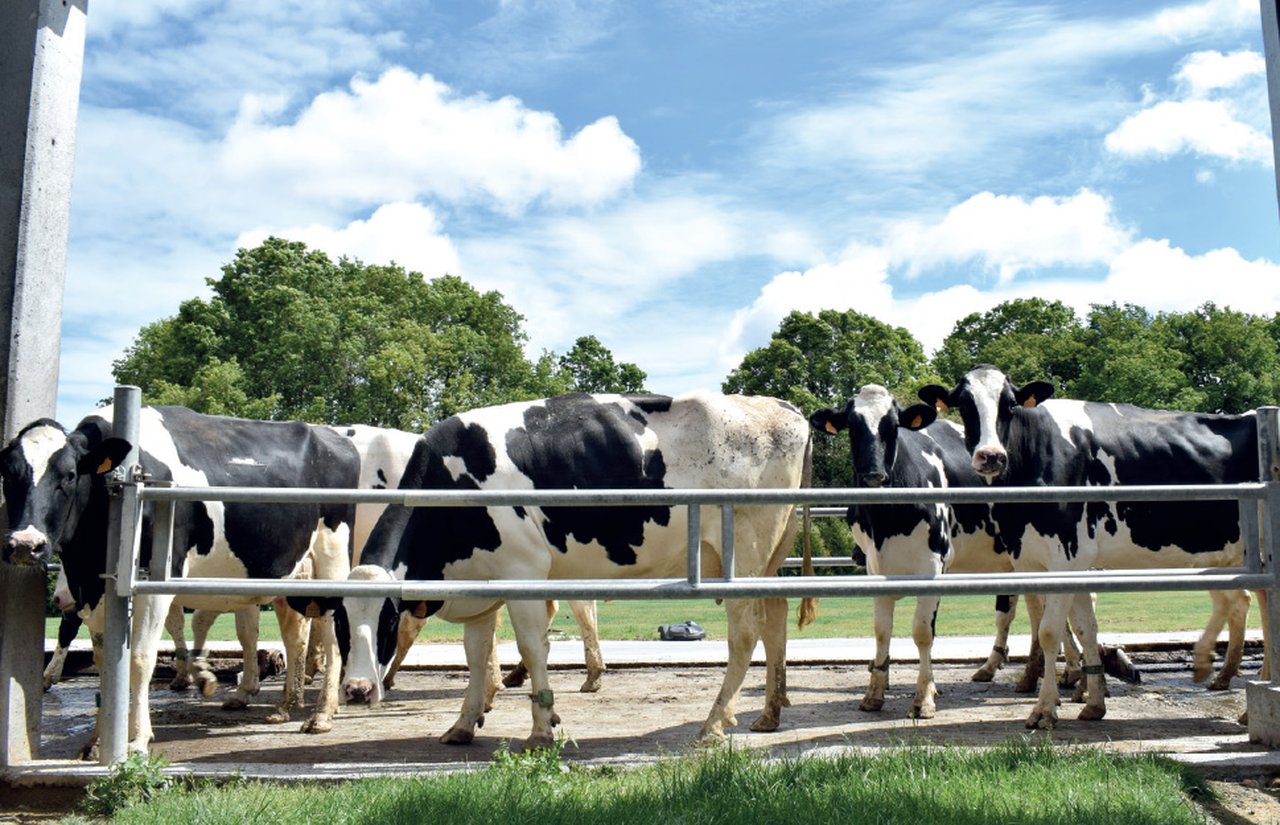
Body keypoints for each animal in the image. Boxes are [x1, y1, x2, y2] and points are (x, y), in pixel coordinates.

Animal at [0, 407, 361, 752]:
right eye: (8, 473)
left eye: (70, 475)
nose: (26, 544)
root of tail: (332, 436)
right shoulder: (94, 592)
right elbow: (105, 664)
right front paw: (98, 740)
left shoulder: (152, 584)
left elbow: (139, 659)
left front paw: (137, 739)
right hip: (288, 576)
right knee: (293, 636)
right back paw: (283, 705)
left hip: (332, 561)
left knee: (331, 636)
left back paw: (322, 713)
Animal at [332, 392, 811, 750]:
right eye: (340, 622)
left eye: (387, 619)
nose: (357, 691)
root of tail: (778, 406)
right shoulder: (478, 583)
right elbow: (476, 656)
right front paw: (463, 725)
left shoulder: (522, 573)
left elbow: (531, 648)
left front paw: (542, 729)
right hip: (769, 558)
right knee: (775, 617)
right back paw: (769, 713)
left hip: (744, 553)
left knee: (744, 633)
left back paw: (714, 722)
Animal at [918, 365, 1260, 729]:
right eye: (964, 405)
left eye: (1010, 404)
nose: (991, 456)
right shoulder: (1031, 559)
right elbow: (1084, 629)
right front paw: (1093, 702)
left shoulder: (1065, 556)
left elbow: (1049, 631)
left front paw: (1045, 710)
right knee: (1241, 601)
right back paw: (1223, 681)